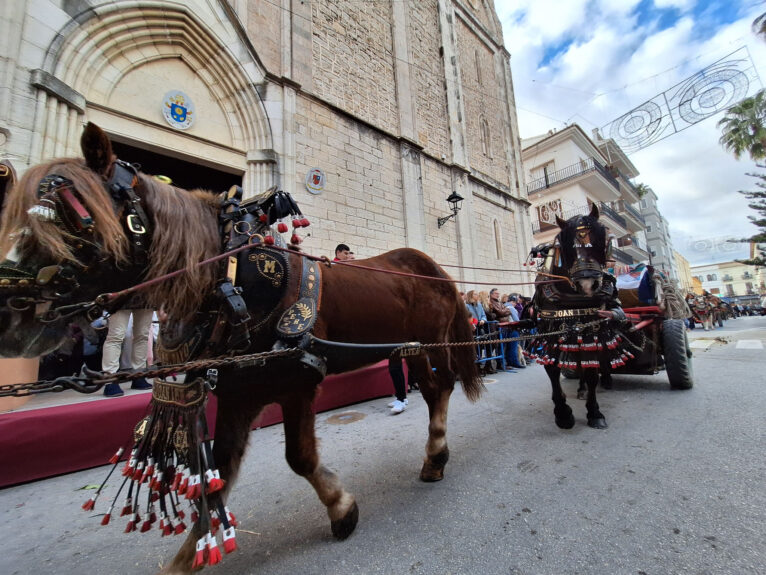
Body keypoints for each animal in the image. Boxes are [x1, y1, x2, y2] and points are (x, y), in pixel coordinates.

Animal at [0, 124, 480, 572]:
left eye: (78, 221)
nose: (11, 316)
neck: (231, 283)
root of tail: (434, 268)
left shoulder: (296, 382)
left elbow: (299, 457)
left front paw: (342, 509)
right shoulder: (239, 391)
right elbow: (219, 471)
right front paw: (189, 555)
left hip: (435, 342)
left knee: (442, 387)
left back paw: (436, 454)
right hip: (409, 348)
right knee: (432, 389)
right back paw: (434, 457)